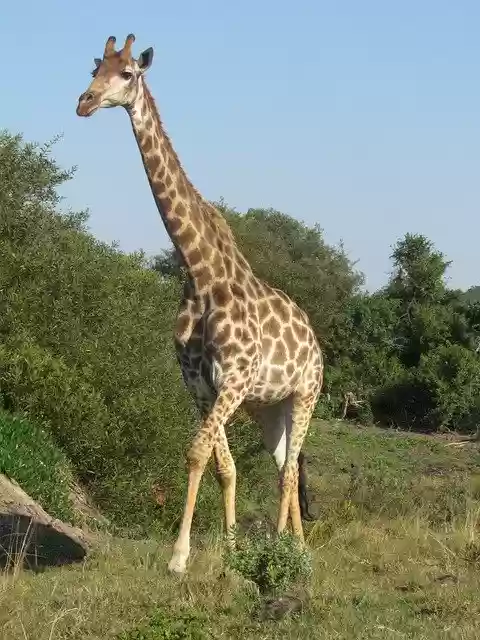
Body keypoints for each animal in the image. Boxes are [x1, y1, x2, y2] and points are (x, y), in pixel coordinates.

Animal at [76, 34, 323, 575]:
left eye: (128, 73)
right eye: (94, 67)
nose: (84, 102)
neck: (200, 274)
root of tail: (316, 342)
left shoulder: (231, 379)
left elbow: (195, 454)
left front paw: (179, 558)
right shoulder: (200, 384)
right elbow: (220, 465)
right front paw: (228, 552)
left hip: (305, 395)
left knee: (290, 471)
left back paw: (284, 551)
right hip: (267, 409)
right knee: (286, 466)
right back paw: (297, 546)